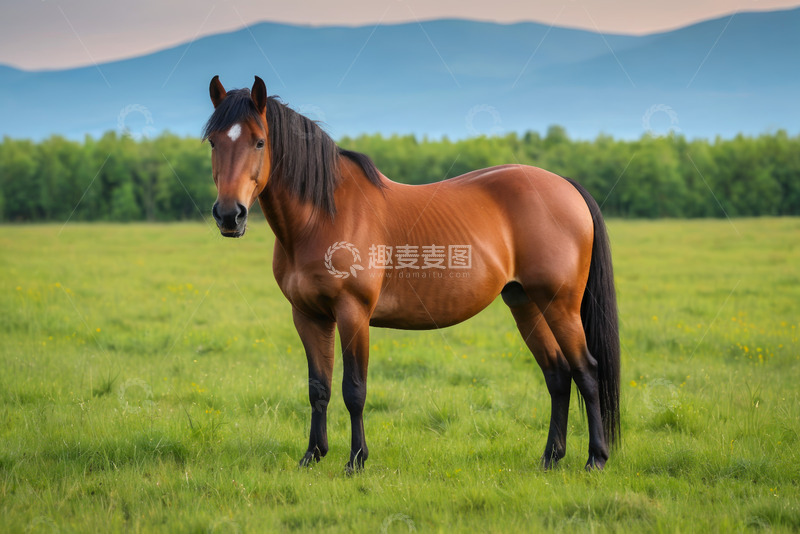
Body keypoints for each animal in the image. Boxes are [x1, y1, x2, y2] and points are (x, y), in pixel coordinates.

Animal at [203, 75, 620, 471]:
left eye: (259, 142)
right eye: (213, 143)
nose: (229, 215)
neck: (322, 217)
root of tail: (567, 187)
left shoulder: (353, 313)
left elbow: (354, 390)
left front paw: (356, 460)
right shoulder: (308, 315)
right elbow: (318, 387)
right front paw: (313, 455)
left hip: (560, 305)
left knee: (586, 371)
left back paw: (596, 459)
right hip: (526, 303)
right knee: (557, 374)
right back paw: (551, 457)